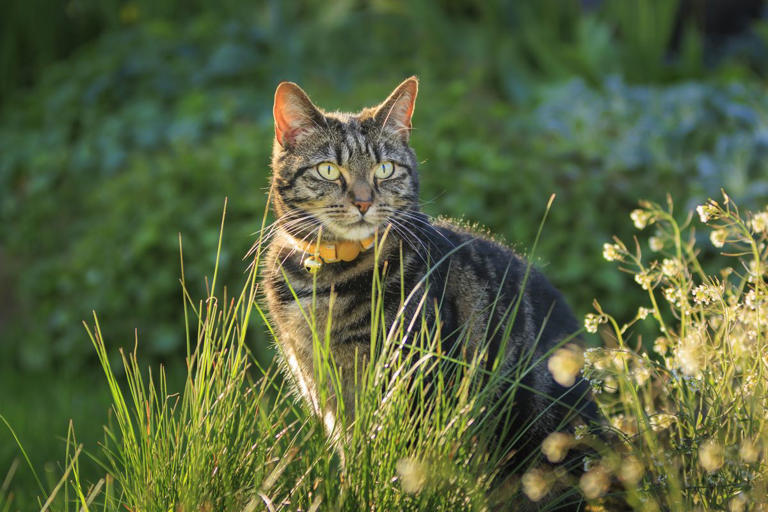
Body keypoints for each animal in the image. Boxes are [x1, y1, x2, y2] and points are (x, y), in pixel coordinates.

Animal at [262, 78, 592, 486]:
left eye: (384, 169)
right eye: (327, 170)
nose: (363, 201)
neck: (328, 277)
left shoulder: (412, 383)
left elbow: (397, 465)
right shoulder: (322, 389)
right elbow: (352, 457)